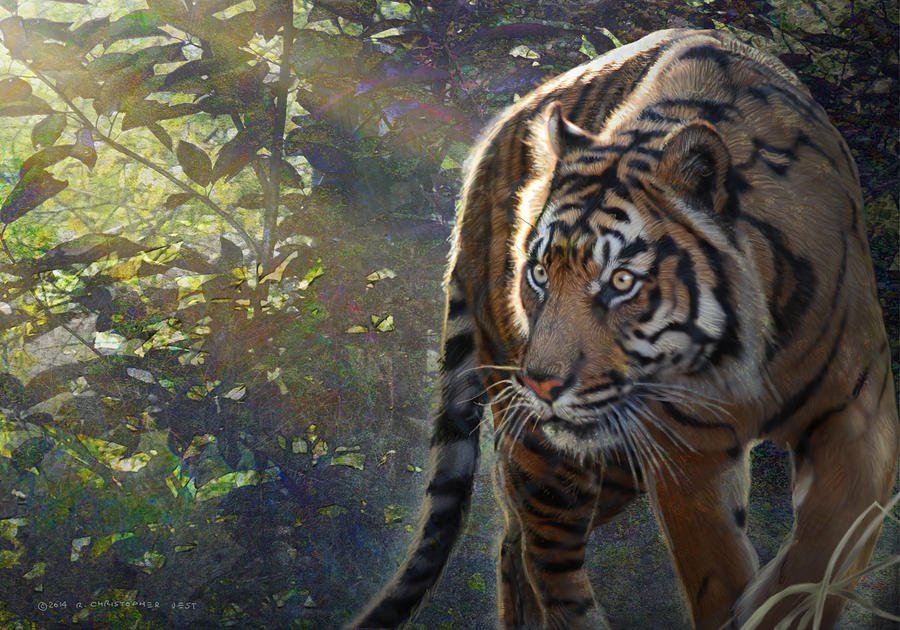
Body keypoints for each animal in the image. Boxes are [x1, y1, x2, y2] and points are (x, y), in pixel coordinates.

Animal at [348, 28, 899, 630]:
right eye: (539, 273)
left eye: (621, 280)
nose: (540, 383)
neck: (745, 355)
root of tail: (491, 143)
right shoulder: (692, 450)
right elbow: (717, 571)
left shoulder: (856, 419)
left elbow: (825, 550)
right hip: (548, 452)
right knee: (546, 559)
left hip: (607, 460)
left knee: (514, 539)